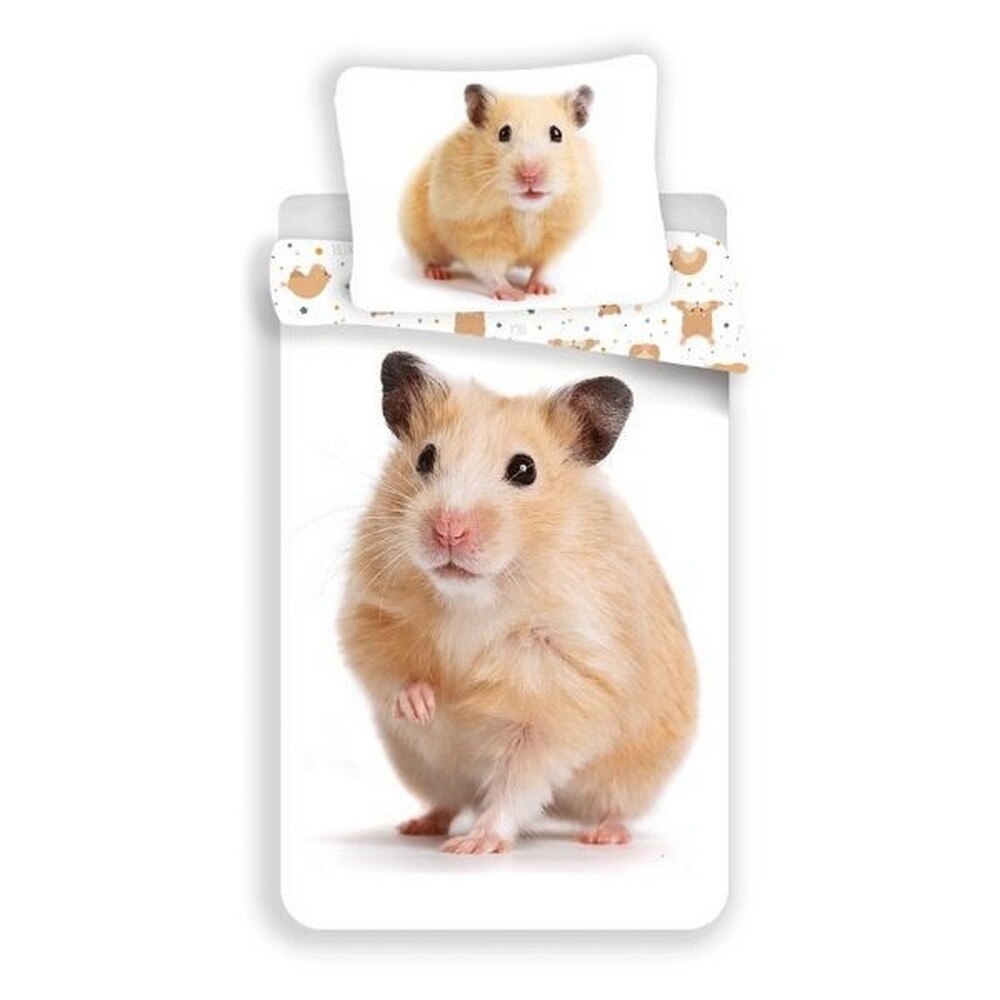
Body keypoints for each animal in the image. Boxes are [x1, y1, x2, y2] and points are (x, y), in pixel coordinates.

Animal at [338, 352, 697, 854]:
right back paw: (418, 825)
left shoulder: (560, 691)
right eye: (425, 458)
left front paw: (476, 846)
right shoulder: (370, 611)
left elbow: (518, 779)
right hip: (425, 768)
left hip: (631, 775)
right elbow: (388, 668)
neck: (474, 597)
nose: (448, 530)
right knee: (448, 800)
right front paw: (424, 706)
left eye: (524, 470)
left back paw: (603, 836)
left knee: (611, 806)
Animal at [399, 83, 599, 301]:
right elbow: (491, 271)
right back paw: (437, 273)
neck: (526, 212)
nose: (530, 174)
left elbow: (545, 267)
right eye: (504, 133)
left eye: (557, 134)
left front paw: (542, 291)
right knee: (428, 258)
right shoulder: (476, 239)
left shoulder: (557, 239)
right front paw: (516, 296)